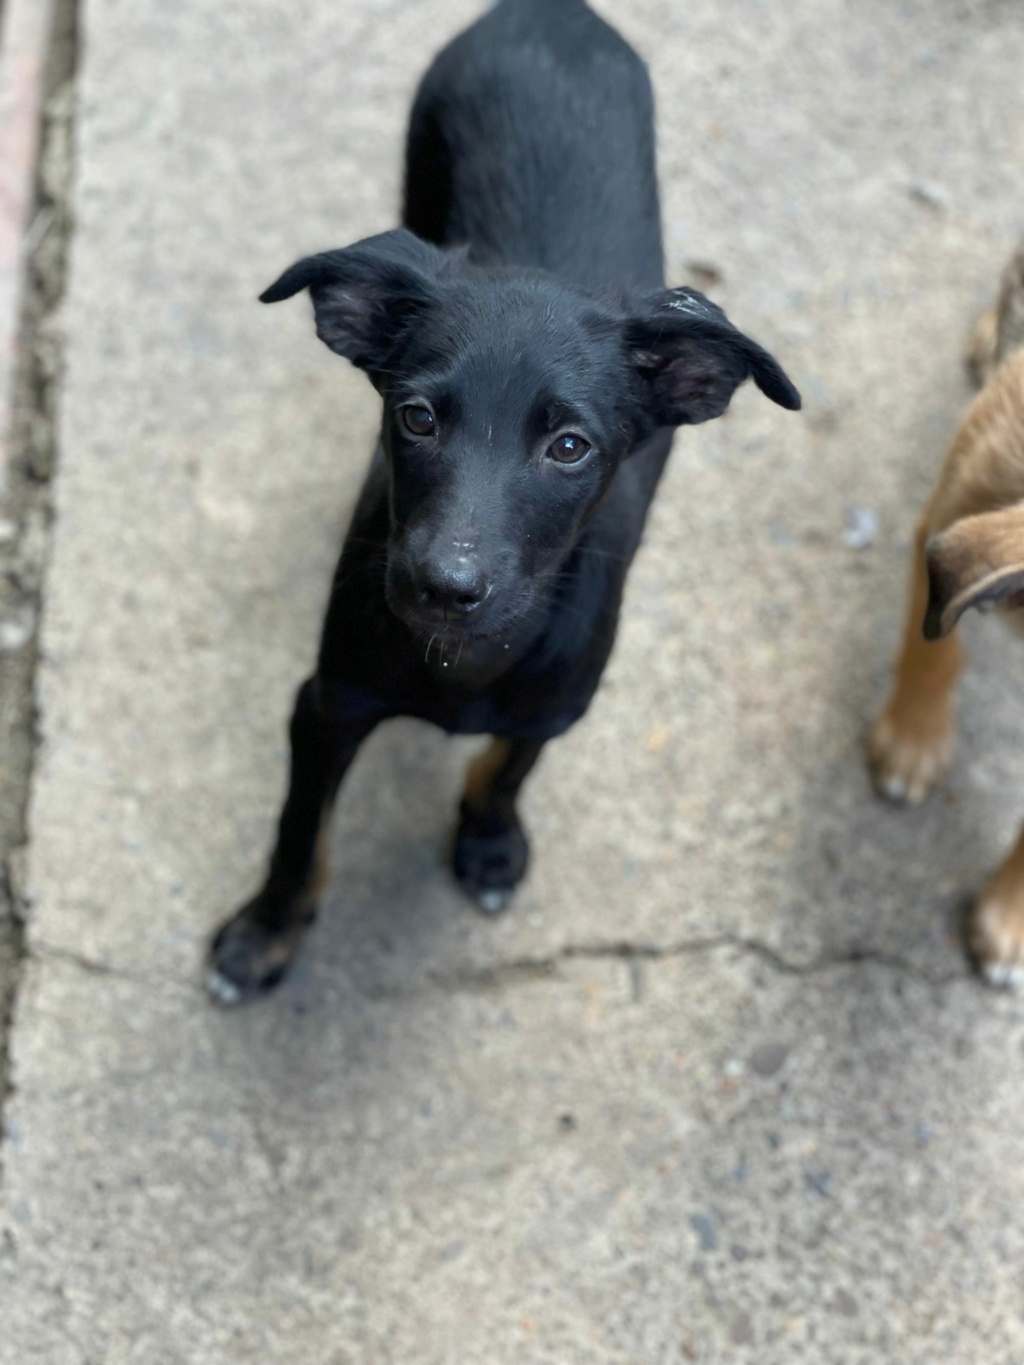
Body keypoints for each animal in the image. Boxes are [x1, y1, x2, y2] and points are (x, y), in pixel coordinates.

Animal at [208, 0, 802, 1004]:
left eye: (569, 447)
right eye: (415, 418)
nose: (445, 586)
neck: (466, 661)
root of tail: (553, 11)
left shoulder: (561, 695)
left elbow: (511, 760)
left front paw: (487, 840)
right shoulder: (326, 703)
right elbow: (300, 829)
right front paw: (266, 932)